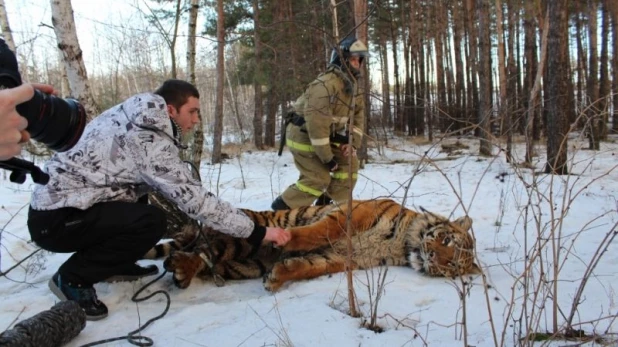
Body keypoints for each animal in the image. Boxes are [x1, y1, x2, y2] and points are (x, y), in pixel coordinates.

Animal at [144, 198, 482, 294]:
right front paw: (286, 239)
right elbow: (315, 231)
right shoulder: (349, 216)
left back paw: (181, 270)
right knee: (202, 247)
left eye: (452, 264)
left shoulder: (342, 258)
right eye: (445, 240)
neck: (401, 244)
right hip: (240, 232)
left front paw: (278, 277)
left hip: (243, 262)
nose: (433, 258)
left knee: (206, 259)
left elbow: (308, 267)